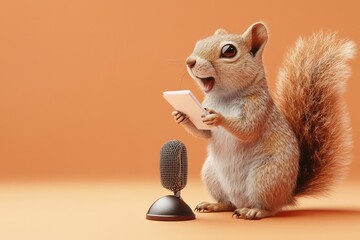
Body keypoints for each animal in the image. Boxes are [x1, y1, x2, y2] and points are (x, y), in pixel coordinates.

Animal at [172, 22, 354, 219]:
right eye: (198, 43)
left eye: (229, 51)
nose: (190, 62)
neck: (224, 98)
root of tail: (287, 195)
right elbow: (204, 133)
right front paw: (181, 116)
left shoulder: (259, 107)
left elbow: (247, 130)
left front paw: (218, 117)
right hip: (211, 174)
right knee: (228, 203)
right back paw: (214, 205)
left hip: (266, 177)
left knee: (269, 208)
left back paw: (254, 211)